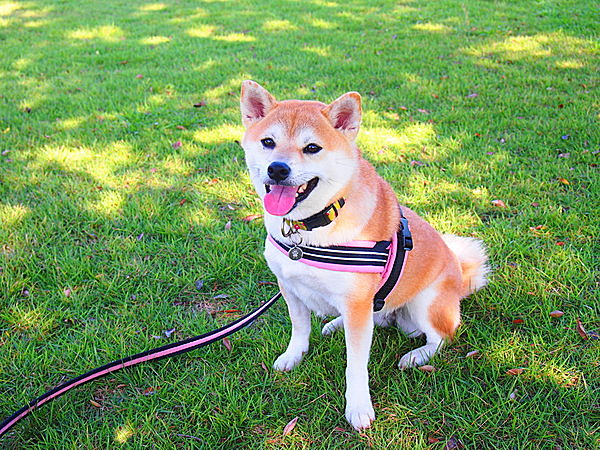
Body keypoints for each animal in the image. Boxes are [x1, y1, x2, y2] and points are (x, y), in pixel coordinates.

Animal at [238, 81, 488, 428]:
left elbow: (355, 365)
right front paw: (293, 357)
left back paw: (416, 356)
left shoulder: (357, 303)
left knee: (440, 337)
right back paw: (334, 325)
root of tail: (461, 281)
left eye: (311, 148)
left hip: (426, 304)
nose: (277, 169)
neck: (312, 228)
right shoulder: (290, 288)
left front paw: (357, 406)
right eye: (268, 142)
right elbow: (300, 330)